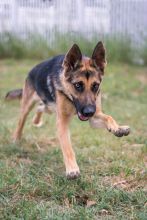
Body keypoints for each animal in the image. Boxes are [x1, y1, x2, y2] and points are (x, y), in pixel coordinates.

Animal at [5, 42, 130, 180]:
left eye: (95, 86)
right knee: (21, 121)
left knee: (40, 107)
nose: (89, 112)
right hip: (27, 106)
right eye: (78, 85)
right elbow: (67, 147)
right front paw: (72, 169)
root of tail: (32, 70)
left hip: (49, 106)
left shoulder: (94, 116)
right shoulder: (62, 123)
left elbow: (109, 117)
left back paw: (36, 121)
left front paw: (118, 128)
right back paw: (16, 138)